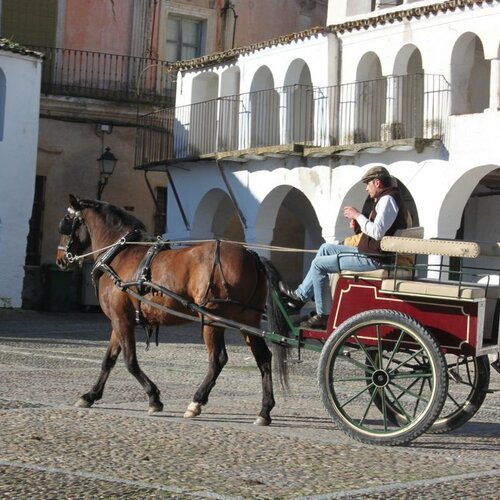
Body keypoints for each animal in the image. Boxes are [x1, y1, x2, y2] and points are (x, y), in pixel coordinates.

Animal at [55, 193, 290, 424]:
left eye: (66, 222)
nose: (60, 260)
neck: (120, 253)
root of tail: (253, 256)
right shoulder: (119, 319)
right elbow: (109, 360)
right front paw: (90, 395)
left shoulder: (121, 320)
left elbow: (130, 361)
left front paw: (154, 398)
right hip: (247, 320)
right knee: (263, 358)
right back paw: (264, 410)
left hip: (213, 319)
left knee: (218, 359)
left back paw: (196, 401)